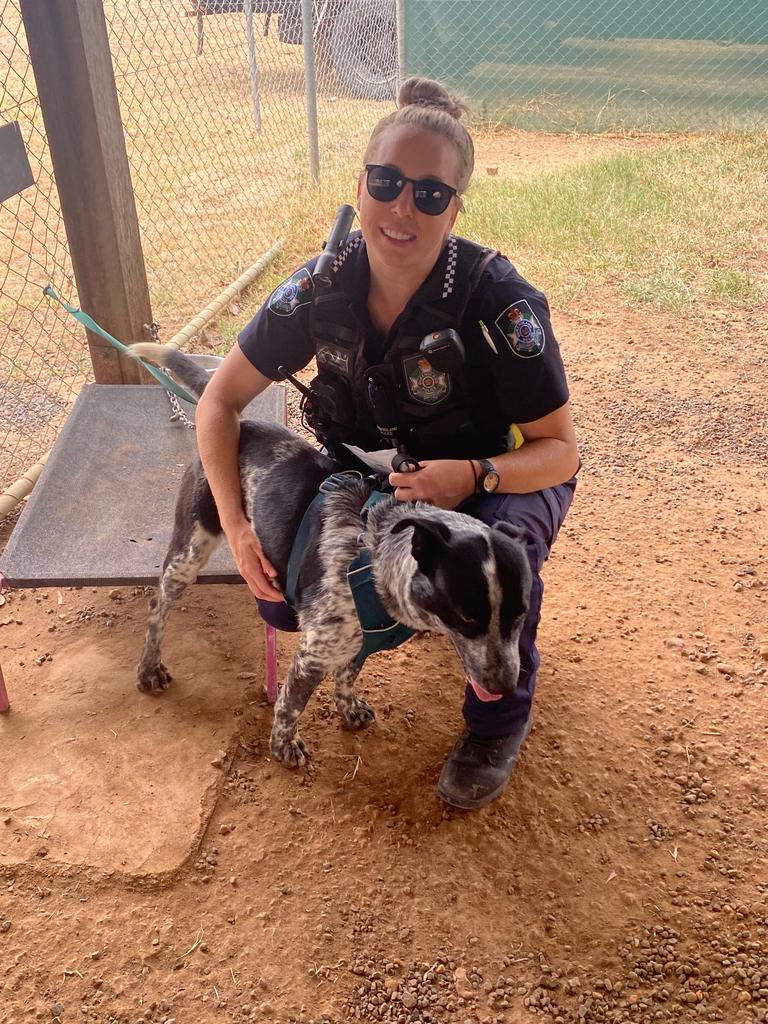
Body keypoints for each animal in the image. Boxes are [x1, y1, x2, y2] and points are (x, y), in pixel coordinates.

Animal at [131, 344, 536, 770]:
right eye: (467, 616)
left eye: (520, 615)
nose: (505, 687)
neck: (375, 557)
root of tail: (248, 424)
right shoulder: (314, 651)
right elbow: (291, 704)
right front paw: (284, 747)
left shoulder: (357, 643)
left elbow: (346, 676)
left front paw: (348, 708)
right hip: (190, 550)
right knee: (158, 608)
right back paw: (149, 668)